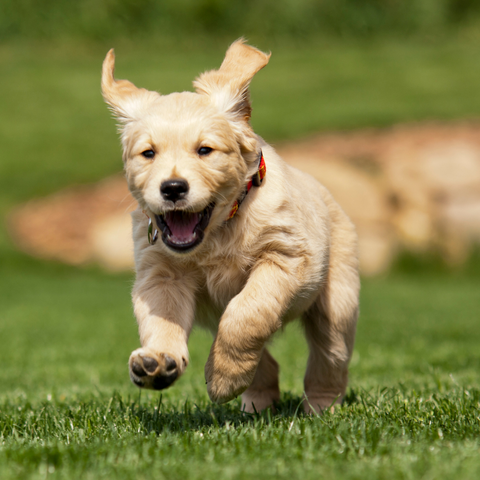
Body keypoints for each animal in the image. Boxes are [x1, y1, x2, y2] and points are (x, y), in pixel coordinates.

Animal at [101, 39, 358, 412]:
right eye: (148, 153)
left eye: (205, 150)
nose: (173, 188)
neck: (219, 231)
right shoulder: (161, 275)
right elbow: (163, 319)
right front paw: (159, 360)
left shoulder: (285, 257)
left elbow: (247, 313)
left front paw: (223, 379)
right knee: (267, 362)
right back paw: (256, 402)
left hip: (337, 301)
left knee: (330, 356)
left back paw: (320, 407)